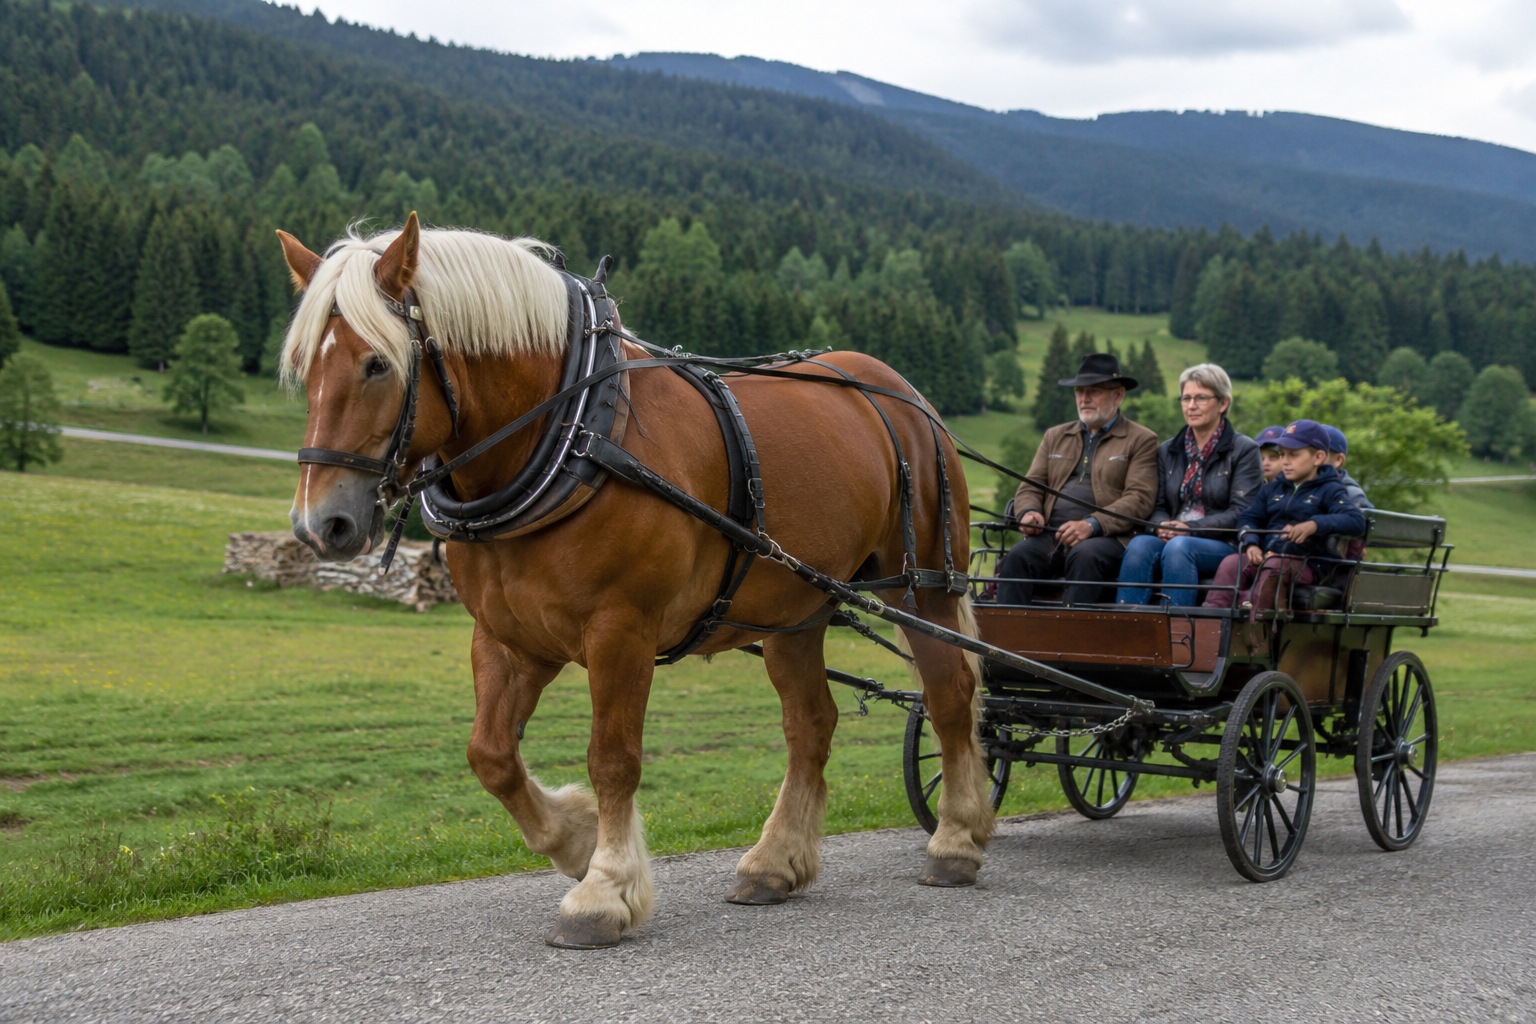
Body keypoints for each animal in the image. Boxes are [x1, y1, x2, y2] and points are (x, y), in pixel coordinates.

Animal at [277, 212, 994, 948]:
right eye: (304, 367)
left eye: (376, 363)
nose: (320, 523)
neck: (573, 433)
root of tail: (905, 395)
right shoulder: (512, 638)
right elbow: (491, 754)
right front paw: (574, 837)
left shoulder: (620, 631)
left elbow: (613, 758)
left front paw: (604, 889)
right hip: (796, 605)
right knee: (811, 724)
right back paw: (773, 863)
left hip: (923, 584)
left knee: (949, 697)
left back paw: (955, 841)